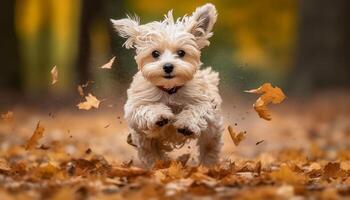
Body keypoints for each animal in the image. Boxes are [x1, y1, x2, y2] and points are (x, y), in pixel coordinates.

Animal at [110, 3, 223, 168]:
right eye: (155, 53)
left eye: (181, 52)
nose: (168, 66)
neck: (170, 90)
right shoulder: (135, 108)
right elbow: (145, 108)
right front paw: (160, 115)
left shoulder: (205, 103)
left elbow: (197, 109)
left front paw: (186, 124)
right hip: (144, 140)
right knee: (151, 152)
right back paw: (159, 166)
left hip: (212, 132)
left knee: (210, 147)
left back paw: (208, 166)